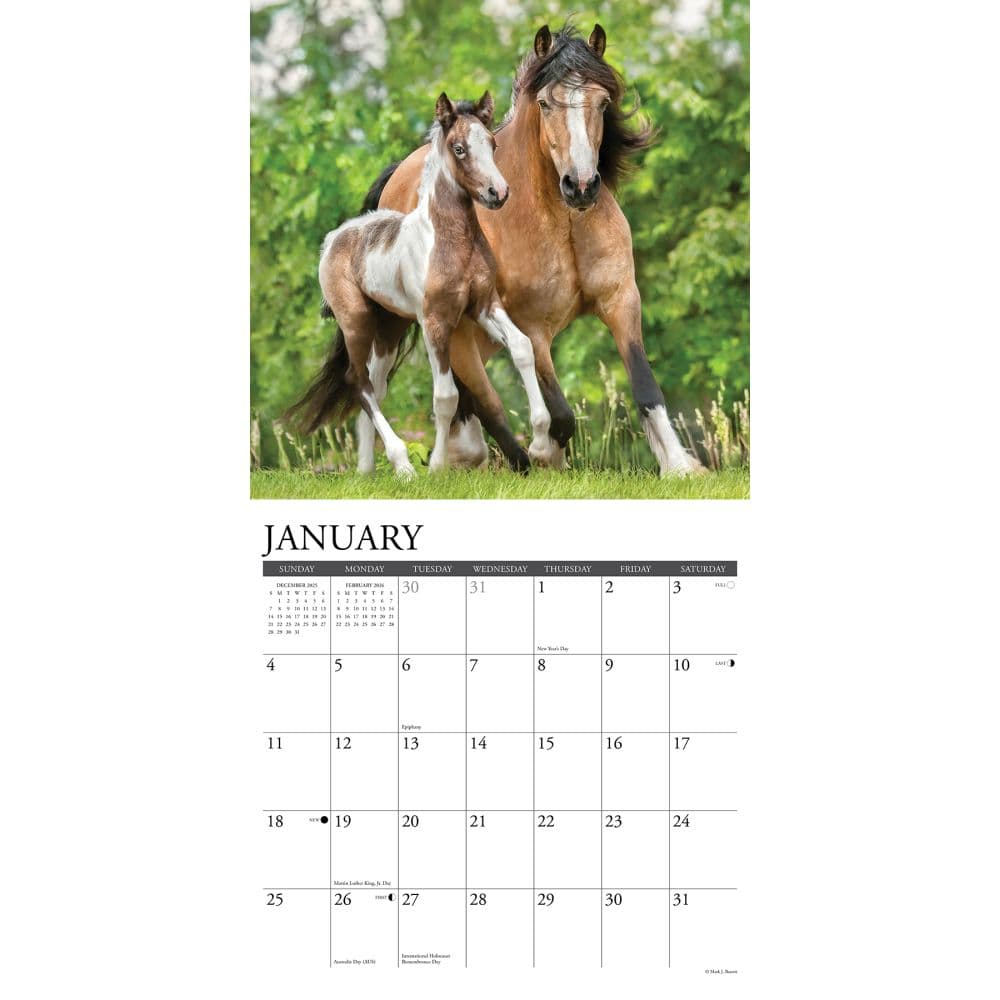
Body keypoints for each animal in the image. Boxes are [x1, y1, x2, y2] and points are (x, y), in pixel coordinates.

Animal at [286, 92, 550, 477]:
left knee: (375, 384)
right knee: (358, 382)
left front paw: (541, 443)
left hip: (389, 328)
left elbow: (522, 347)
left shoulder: (485, 305)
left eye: (492, 143)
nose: (498, 193)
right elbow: (446, 396)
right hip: (357, 321)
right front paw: (438, 466)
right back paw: (403, 467)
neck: (452, 241)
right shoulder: (435, 321)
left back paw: (366, 470)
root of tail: (335, 238)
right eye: (458, 148)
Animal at [370, 22, 702, 476]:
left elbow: (645, 386)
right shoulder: (532, 325)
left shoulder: (621, 300)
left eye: (603, 102)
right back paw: (485, 456)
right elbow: (559, 410)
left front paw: (680, 465)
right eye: (545, 103)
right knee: (482, 399)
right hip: (457, 331)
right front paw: (547, 452)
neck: (561, 220)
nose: (580, 186)